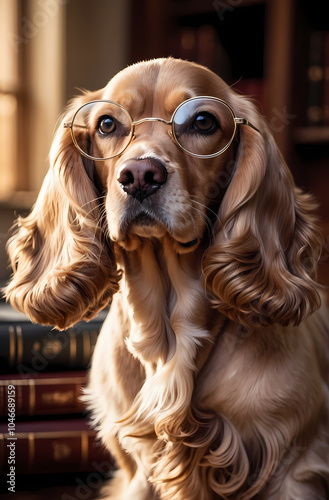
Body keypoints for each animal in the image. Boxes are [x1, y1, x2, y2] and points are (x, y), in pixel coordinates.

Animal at [3, 57, 328, 496]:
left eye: (203, 121)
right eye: (107, 124)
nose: (140, 175)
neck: (169, 334)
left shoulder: (295, 465)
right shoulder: (136, 471)